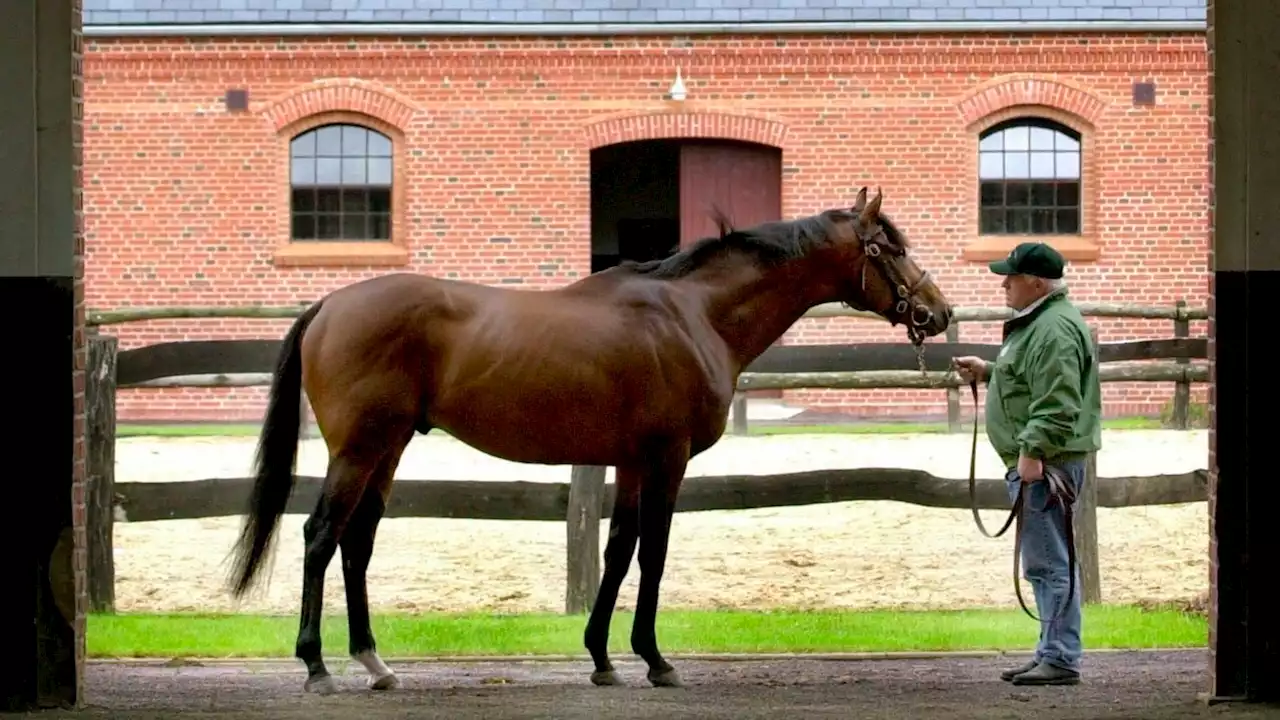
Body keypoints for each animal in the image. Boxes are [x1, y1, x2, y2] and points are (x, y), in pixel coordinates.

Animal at [225, 188, 957, 691]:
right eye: (890, 248)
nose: (939, 311)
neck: (694, 314)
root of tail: (329, 304)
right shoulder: (666, 460)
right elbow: (653, 555)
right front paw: (655, 659)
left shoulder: (630, 463)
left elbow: (617, 550)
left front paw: (603, 657)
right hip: (358, 449)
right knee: (321, 536)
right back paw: (317, 665)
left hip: (388, 449)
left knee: (356, 545)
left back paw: (374, 662)